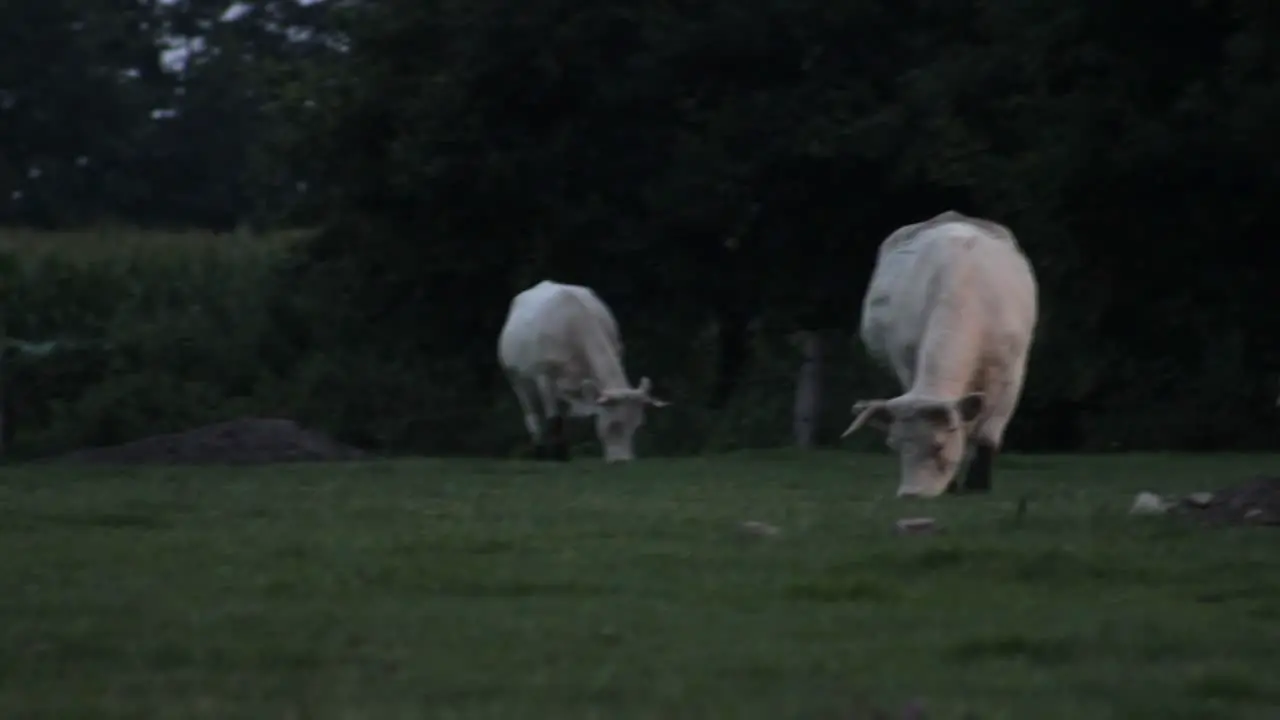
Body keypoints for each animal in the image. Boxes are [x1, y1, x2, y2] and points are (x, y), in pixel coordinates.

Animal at [494, 278, 670, 461]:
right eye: (614, 425)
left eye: (637, 425)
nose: (623, 461)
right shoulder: (543, 376)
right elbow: (554, 419)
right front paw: (559, 455)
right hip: (516, 378)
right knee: (532, 415)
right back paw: (540, 450)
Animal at [839, 210, 1039, 497]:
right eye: (894, 445)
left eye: (939, 445)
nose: (910, 494)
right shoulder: (906, 359)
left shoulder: (1010, 370)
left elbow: (987, 431)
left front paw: (978, 485)